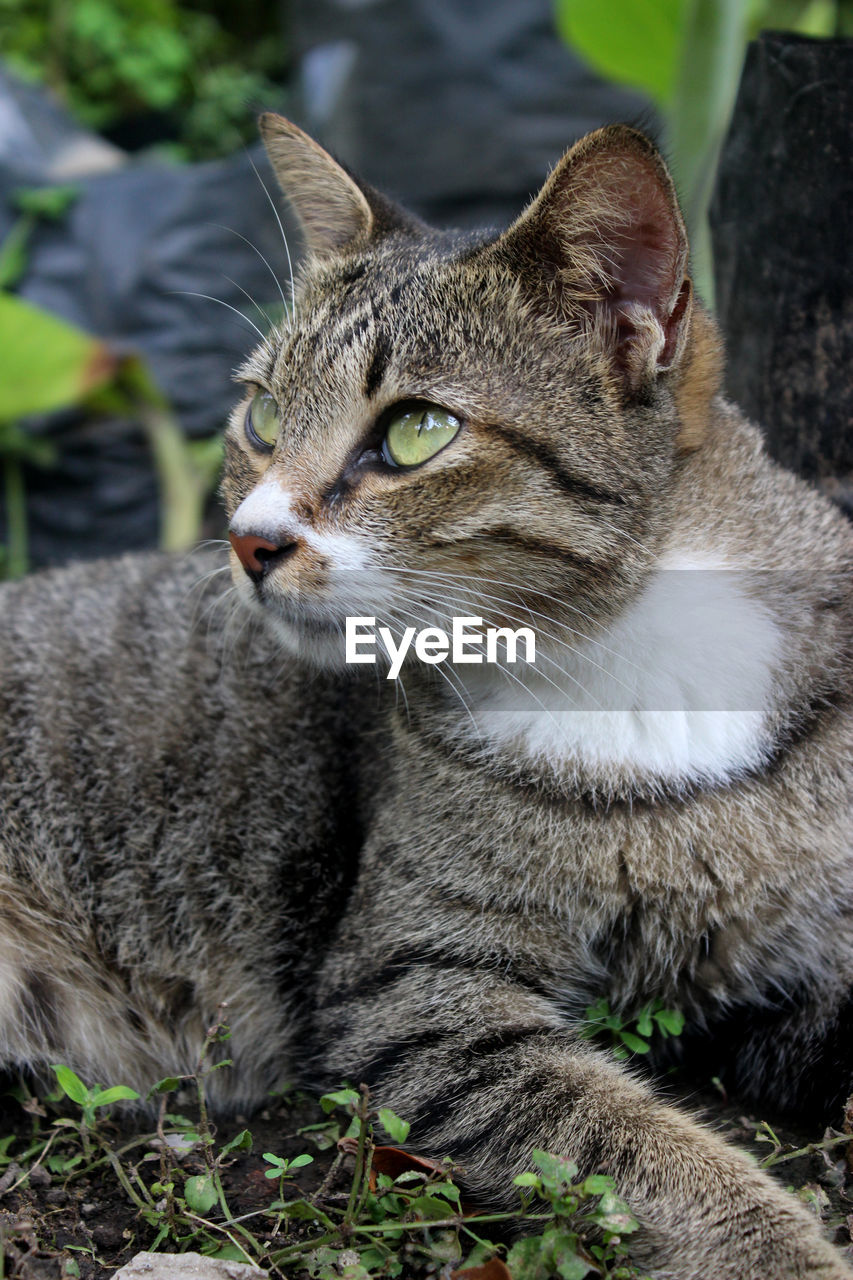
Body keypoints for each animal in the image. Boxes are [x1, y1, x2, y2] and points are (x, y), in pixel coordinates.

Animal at [0, 112, 845, 1280]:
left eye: (415, 431)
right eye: (265, 416)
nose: (248, 539)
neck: (627, 656)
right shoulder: (412, 992)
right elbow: (639, 1142)